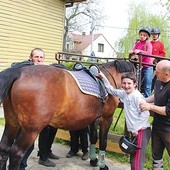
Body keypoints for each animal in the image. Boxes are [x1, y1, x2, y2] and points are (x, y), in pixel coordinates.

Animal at [0, 60, 134, 169]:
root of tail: (19, 72)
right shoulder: (107, 119)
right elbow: (103, 142)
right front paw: (102, 165)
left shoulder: (93, 120)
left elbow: (93, 139)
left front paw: (93, 160)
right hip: (31, 130)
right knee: (16, 153)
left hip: (12, 123)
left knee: (4, 148)